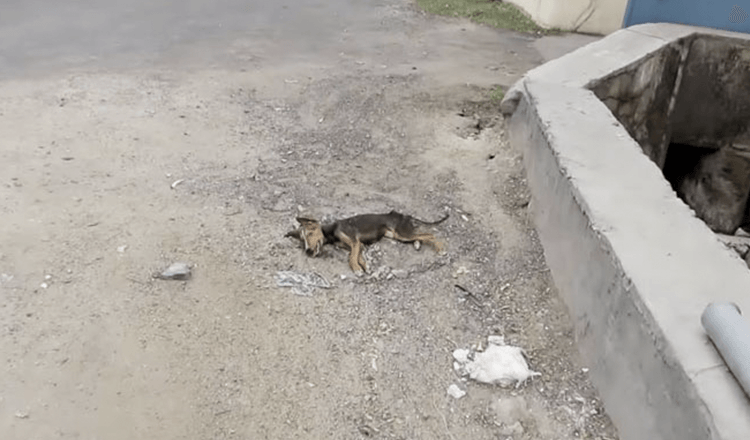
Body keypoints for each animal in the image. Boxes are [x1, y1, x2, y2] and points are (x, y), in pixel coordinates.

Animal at [284, 211, 450, 274]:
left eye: (310, 233)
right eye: (302, 242)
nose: (308, 252)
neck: (330, 231)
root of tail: (404, 215)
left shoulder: (354, 242)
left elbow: (351, 257)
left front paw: (357, 269)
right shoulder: (358, 245)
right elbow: (356, 256)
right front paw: (365, 266)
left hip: (402, 233)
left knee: (429, 234)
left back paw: (441, 248)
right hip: (397, 236)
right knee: (420, 236)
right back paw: (417, 244)